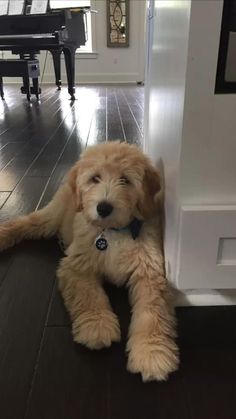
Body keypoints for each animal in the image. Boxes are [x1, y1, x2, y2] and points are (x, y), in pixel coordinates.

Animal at [0, 143, 179, 382]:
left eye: (125, 180)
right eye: (95, 178)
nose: (103, 208)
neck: (112, 232)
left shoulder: (149, 272)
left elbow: (153, 313)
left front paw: (152, 352)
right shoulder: (77, 266)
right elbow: (89, 296)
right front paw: (97, 326)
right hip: (51, 216)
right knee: (26, 222)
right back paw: (4, 236)